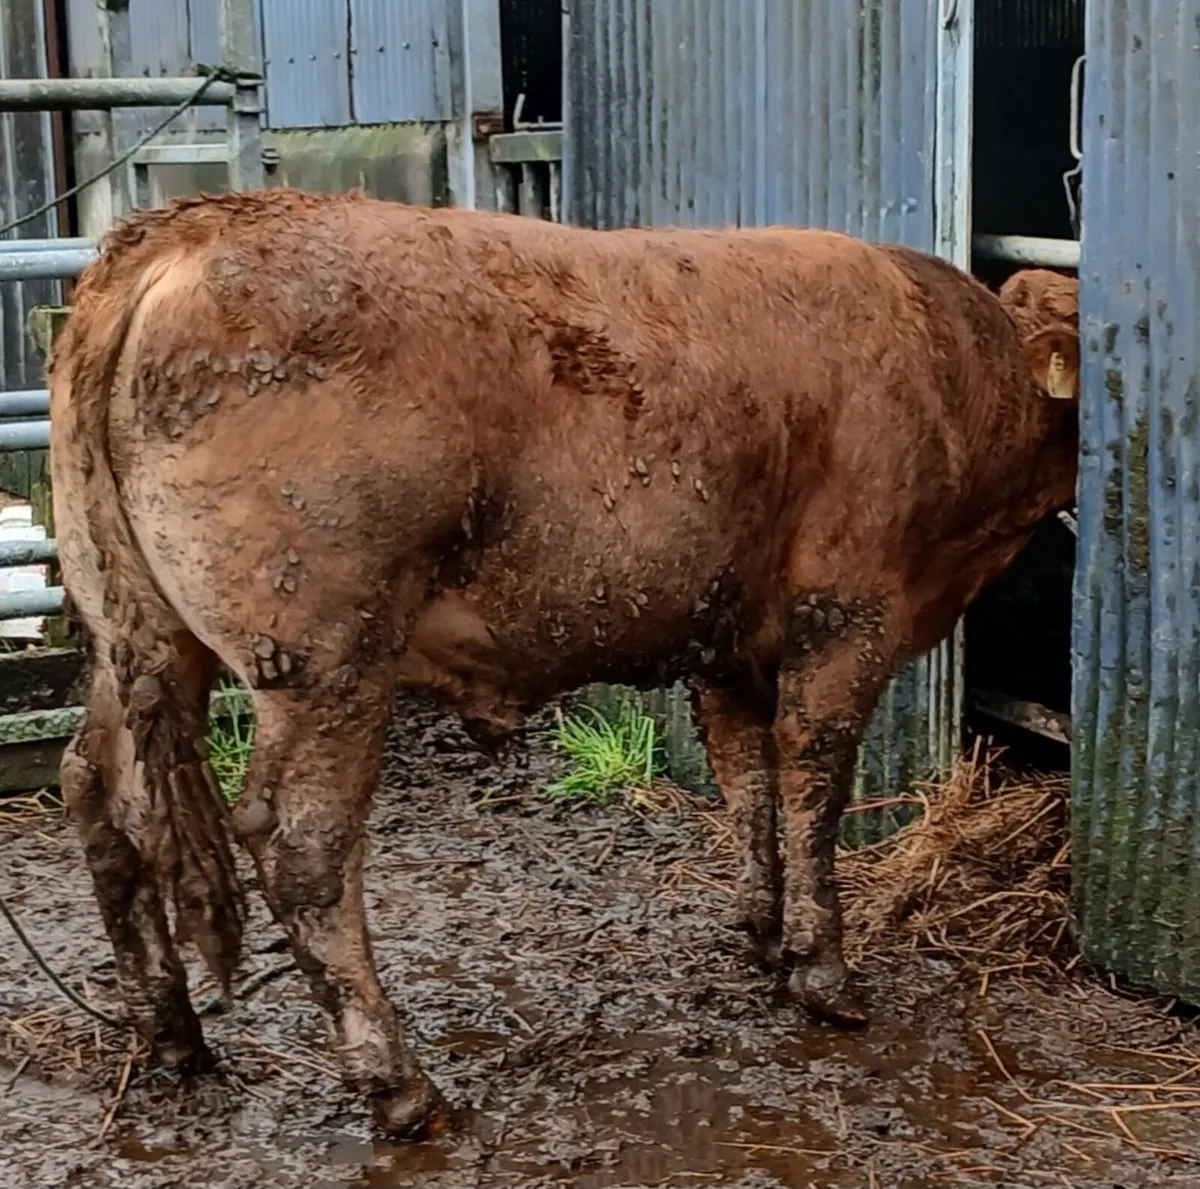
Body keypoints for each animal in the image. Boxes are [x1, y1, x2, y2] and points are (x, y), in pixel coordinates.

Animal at [48, 188, 1079, 1136]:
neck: (960, 371)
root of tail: (198, 224)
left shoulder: (728, 633)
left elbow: (746, 779)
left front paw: (758, 930)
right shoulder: (848, 612)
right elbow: (812, 777)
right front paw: (821, 970)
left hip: (135, 635)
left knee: (101, 792)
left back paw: (171, 1034)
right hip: (326, 658)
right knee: (303, 847)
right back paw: (399, 1085)